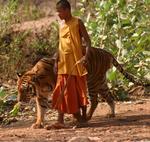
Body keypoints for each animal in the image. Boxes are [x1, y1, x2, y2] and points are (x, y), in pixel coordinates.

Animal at [16, 46, 148, 129]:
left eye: (25, 90)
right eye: (18, 90)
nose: (19, 100)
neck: (39, 84)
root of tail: (106, 52)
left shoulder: (61, 90)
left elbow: (62, 107)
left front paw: (68, 120)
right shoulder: (41, 97)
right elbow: (41, 111)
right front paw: (38, 124)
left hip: (92, 82)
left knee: (95, 101)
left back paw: (87, 117)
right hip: (101, 82)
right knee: (110, 97)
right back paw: (111, 114)